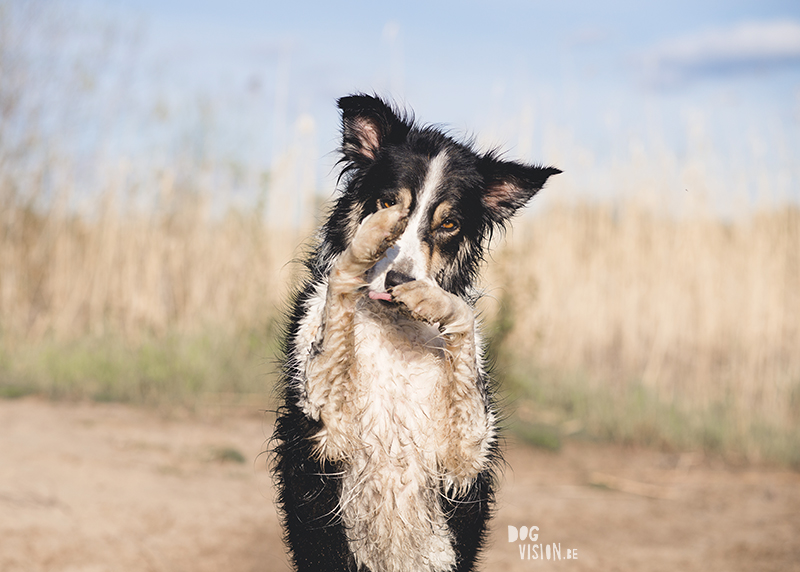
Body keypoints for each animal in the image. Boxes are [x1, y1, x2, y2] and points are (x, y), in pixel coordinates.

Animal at [272, 95, 560, 572]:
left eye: (448, 224)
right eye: (388, 202)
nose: (397, 280)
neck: (394, 333)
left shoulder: (465, 457)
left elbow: (464, 344)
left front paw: (440, 306)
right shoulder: (324, 432)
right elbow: (333, 324)